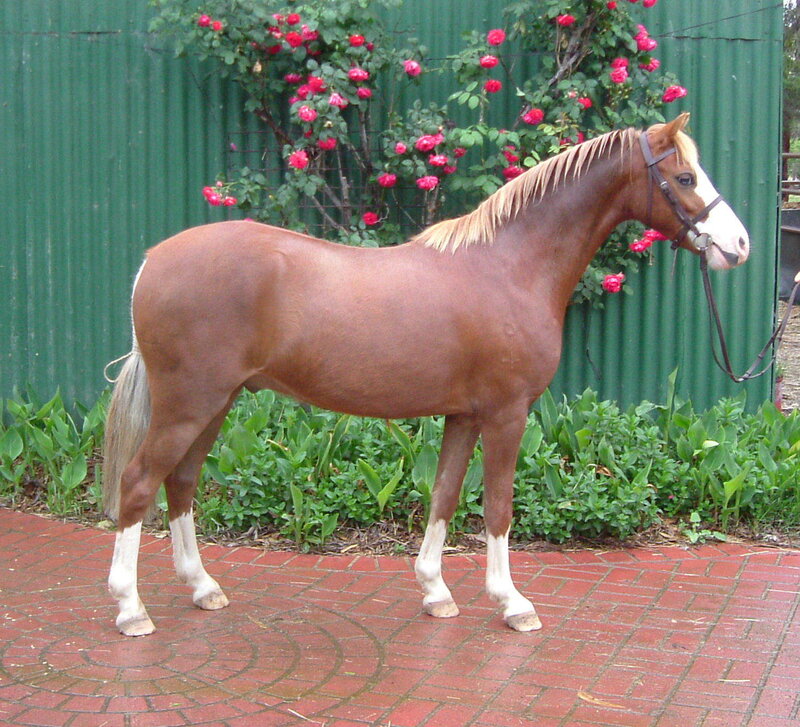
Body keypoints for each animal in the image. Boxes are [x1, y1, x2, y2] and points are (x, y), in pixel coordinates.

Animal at [104, 113, 749, 636]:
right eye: (685, 178)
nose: (739, 245)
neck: (509, 266)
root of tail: (151, 262)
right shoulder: (507, 414)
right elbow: (498, 507)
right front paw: (513, 603)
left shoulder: (463, 415)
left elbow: (444, 496)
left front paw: (436, 592)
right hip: (189, 404)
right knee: (138, 484)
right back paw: (131, 608)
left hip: (214, 404)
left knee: (181, 483)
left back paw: (202, 587)